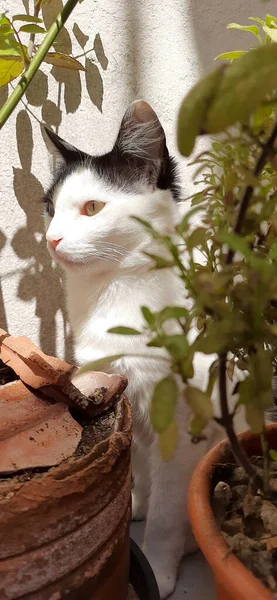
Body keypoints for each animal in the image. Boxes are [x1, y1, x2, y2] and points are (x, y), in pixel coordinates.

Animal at [43, 101, 248, 596]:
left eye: (92, 207)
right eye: (51, 210)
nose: (51, 239)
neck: (113, 291)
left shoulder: (180, 421)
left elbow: (169, 511)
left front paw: (157, 565)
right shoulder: (118, 392)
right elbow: (132, 457)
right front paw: (131, 500)